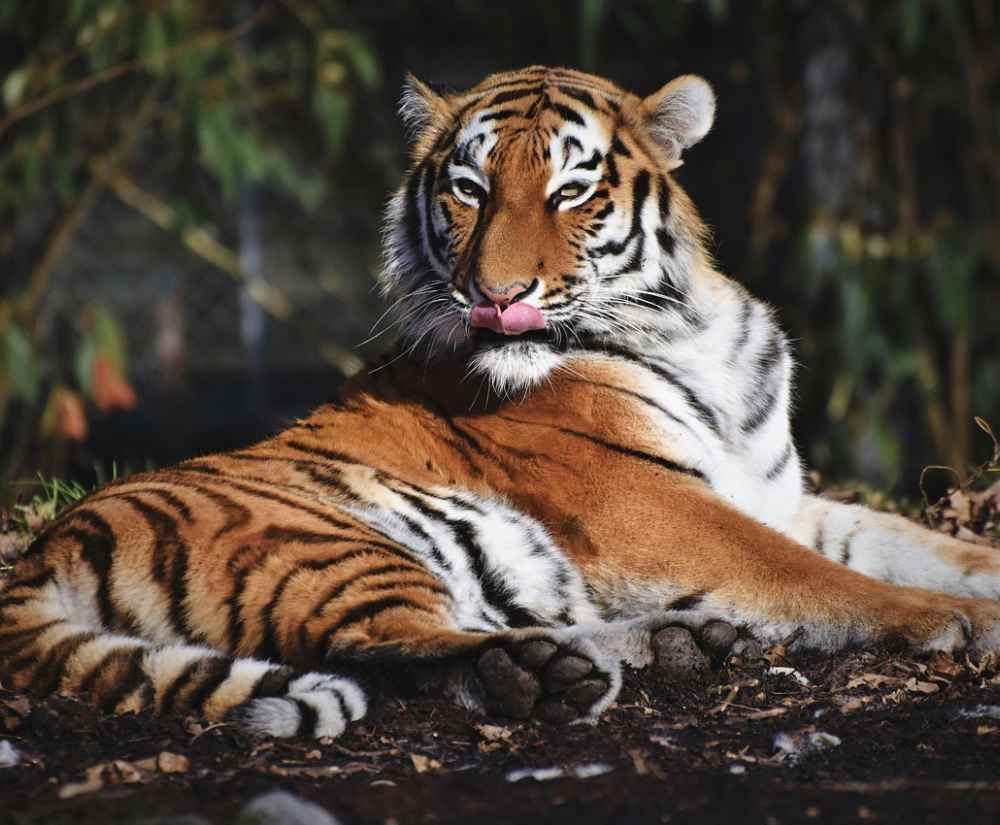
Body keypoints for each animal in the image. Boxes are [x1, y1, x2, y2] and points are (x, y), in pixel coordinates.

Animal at [3, 65, 1000, 741]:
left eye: (571, 189)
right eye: (468, 189)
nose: (495, 294)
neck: (691, 328)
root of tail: (42, 550)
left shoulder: (777, 495)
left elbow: (924, 547)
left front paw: (974, 583)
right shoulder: (649, 504)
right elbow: (819, 577)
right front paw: (949, 622)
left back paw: (678, 643)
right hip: (323, 538)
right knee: (390, 645)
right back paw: (551, 676)